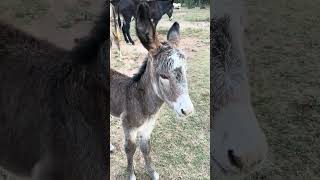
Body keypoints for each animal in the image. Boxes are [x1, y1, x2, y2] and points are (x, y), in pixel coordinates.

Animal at [110, 3, 195, 180]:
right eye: (163, 76)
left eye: (186, 70)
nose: (188, 111)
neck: (141, 101)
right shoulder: (128, 127)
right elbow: (130, 149)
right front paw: (131, 175)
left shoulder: (148, 128)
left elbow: (146, 148)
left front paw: (152, 172)